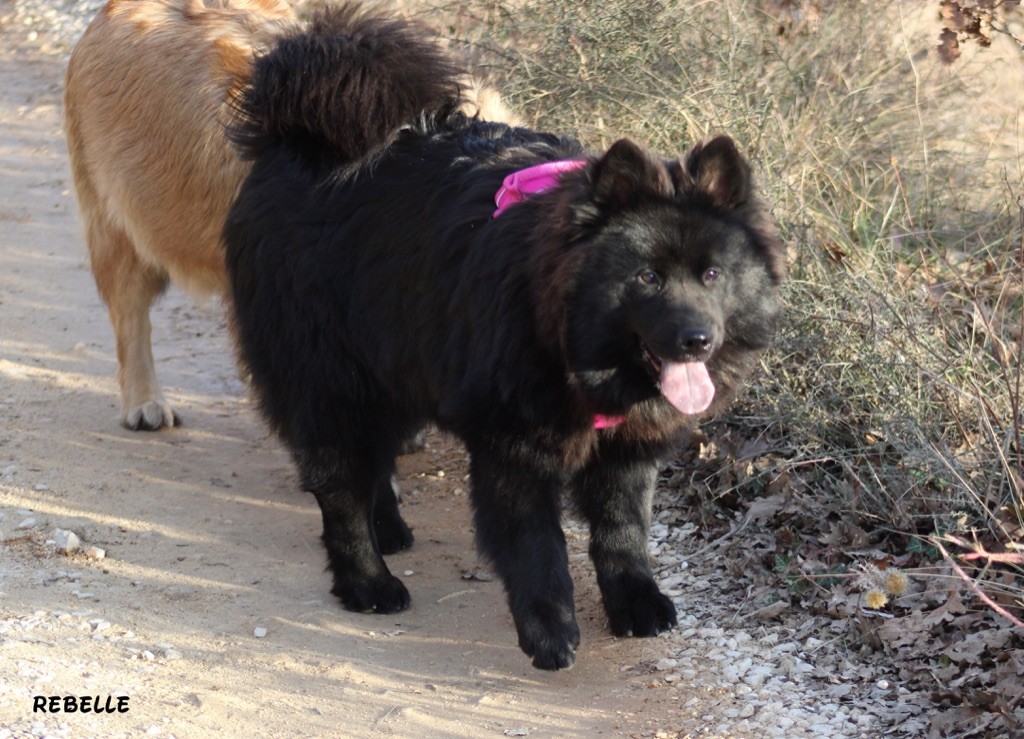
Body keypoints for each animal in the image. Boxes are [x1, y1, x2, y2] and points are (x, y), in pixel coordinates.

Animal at [224, 2, 782, 667]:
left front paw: (636, 602)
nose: (697, 339)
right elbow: (537, 549)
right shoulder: (514, 445)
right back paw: (368, 581)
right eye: (647, 277)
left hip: (395, 360)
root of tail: (294, 138)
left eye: (713, 275)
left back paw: (390, 528)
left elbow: (623, 532)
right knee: (339, 486)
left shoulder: (625, 449)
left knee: (374, 458)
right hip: (331, 375)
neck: (571, 348)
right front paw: (549, 631)